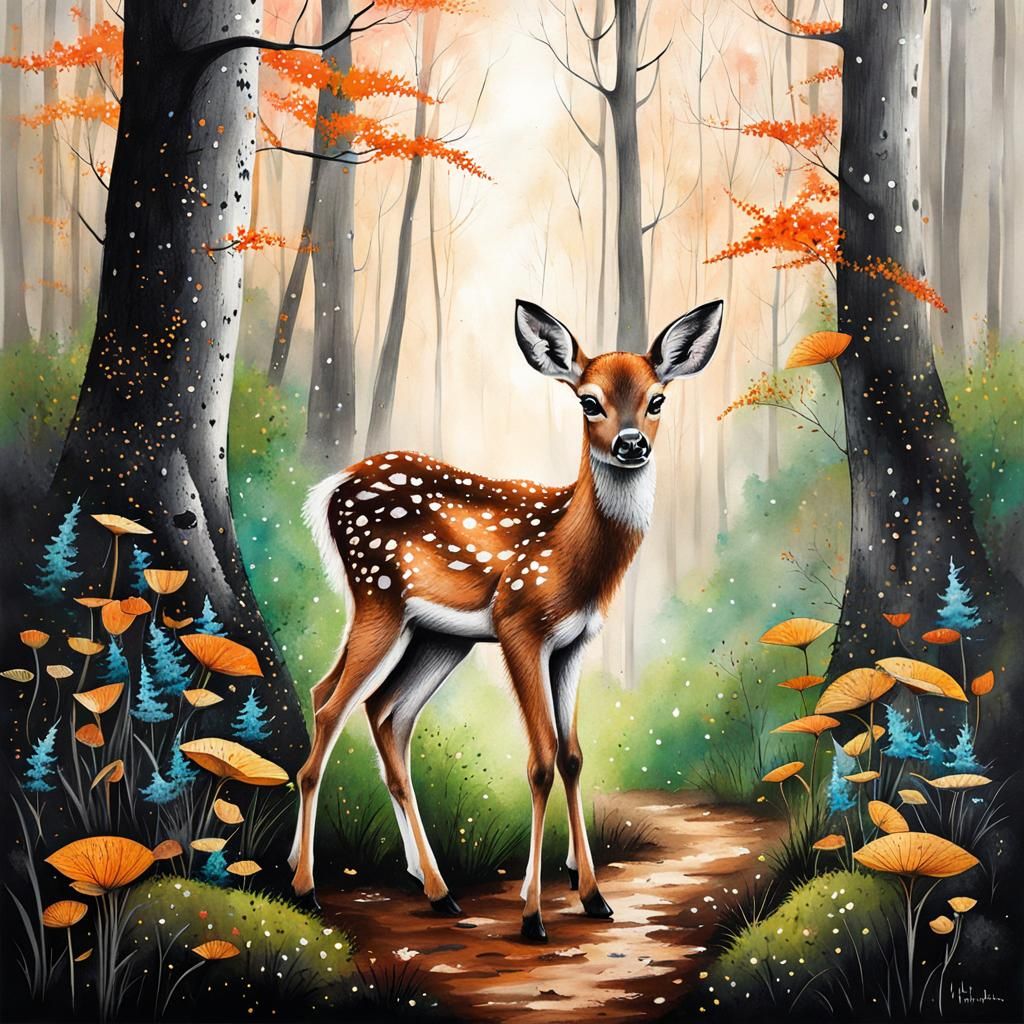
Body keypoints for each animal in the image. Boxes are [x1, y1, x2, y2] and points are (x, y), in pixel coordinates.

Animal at [289, 297, 724, 941]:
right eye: (588, 400)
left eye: (657, 400)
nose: (631, 445)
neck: (574, 558)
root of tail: (328, 491)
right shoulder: (520, 623)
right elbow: (540, 762)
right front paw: (533, 914)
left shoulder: (574, 642)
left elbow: (572, 756)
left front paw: (593, 896)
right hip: (378, 597)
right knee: (331, 708)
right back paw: (307, 887)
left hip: (436, 635)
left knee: (377, 709)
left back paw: (434, 888)